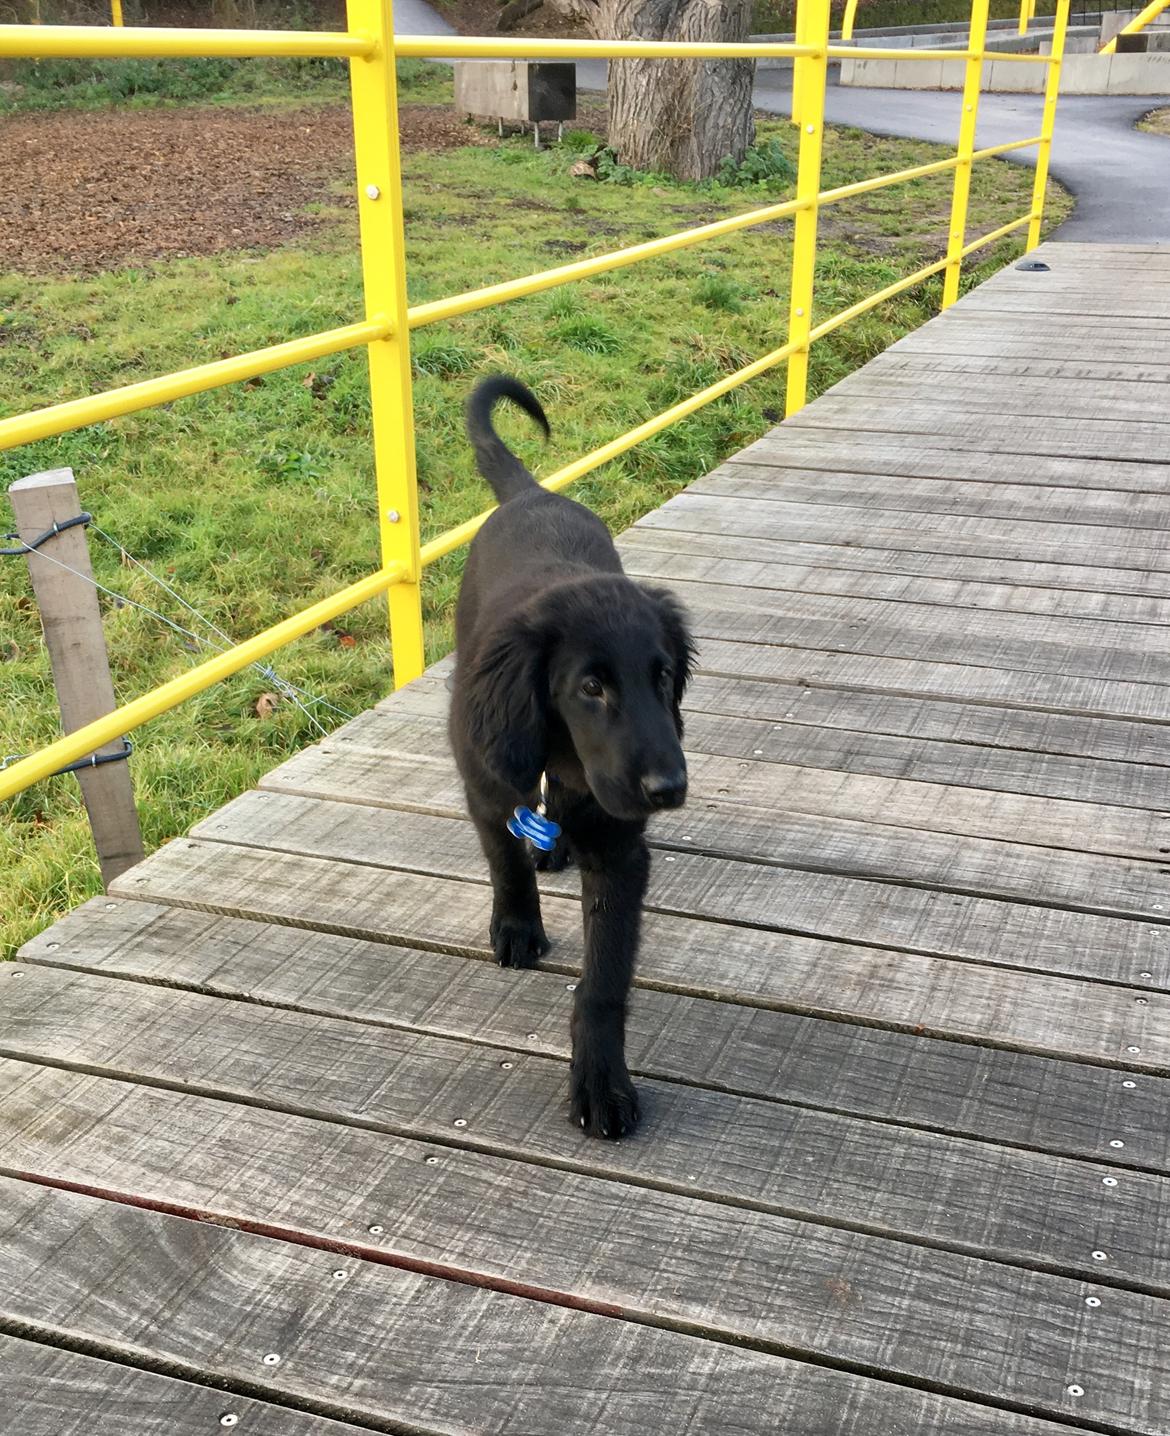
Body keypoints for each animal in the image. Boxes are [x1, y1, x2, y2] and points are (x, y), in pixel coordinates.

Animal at [453, 376, 694, 1137]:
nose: (669, 788)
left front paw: (601, 1083)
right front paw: (517, 927)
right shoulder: (483, 779)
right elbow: (502, 858)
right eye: (591, 687)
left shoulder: (621, 852)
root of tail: (533, 492)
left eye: (662, 677)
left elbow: (605, 982)